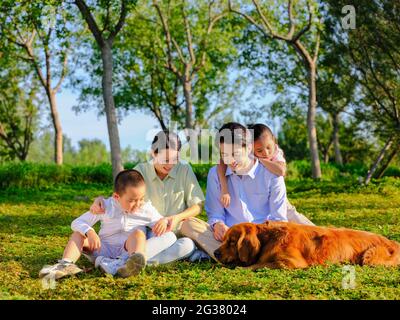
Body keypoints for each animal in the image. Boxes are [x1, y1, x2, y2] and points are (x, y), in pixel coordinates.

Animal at [216, 221, 400, 268]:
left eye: (232, 242)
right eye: (223, 240)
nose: (216, 253)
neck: (269, 238)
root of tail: (392, 241)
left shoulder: (291, 262)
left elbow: (258, 265)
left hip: (370, 257)